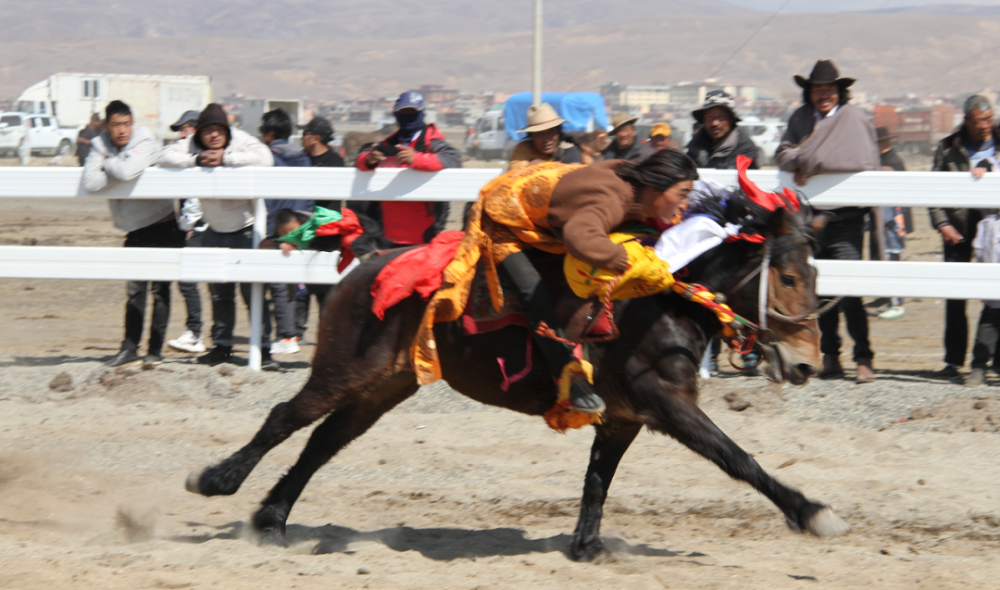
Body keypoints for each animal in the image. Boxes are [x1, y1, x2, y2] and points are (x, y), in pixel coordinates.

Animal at [186, 195, 844, 564]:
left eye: (814, 273)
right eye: (788, 276)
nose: (807, 362)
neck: (661, 300)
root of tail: (368, 260)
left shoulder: (623, 418)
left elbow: (597, 479)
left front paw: (586, 547)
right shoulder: (666, 402)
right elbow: (737, 458)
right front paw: (811, 511)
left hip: (382, 388)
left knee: (323, 442)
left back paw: (272, 520)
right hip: (345, 371)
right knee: (285, 419)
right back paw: (216, 481)